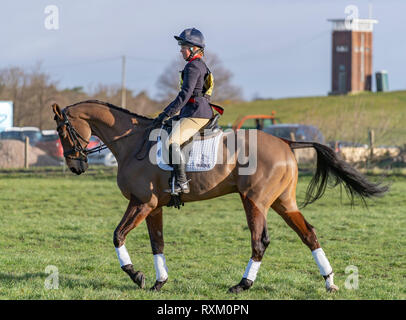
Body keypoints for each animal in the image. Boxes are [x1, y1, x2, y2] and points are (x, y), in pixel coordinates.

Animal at [51, 100, 386, 292]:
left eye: (62, 131)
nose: (76, 166)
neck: (133, 142)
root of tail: (285, 142)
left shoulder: (141, 203)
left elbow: (118, 236)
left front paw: (136, 276)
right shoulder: (153, 207)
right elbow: (157, 243)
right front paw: (159, 282)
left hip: (254, 201)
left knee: (260, 242)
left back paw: (243, 284)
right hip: (283, 203)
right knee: (309, 234)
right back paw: (329, 281)